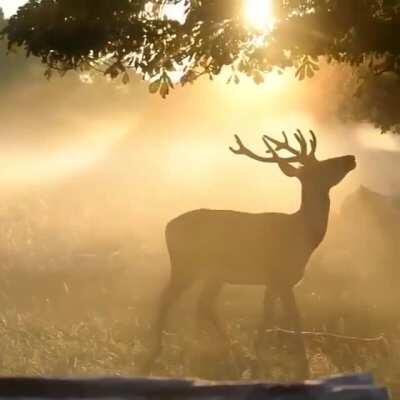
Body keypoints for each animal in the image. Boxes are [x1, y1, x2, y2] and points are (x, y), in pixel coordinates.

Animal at [148, 130, 356, 378]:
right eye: (322, 166)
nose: (351, 158)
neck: (303, 236)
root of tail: (167, 226)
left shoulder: (274, 281)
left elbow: (268, 317)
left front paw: (259, 358)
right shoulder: (280, 276)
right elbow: (292, 317)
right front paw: (301, 367)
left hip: (214, 274)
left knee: (204, 303)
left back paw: (232, 349)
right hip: (186, 265)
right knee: (167, 298)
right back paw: (156, 351)